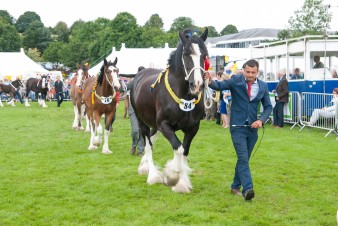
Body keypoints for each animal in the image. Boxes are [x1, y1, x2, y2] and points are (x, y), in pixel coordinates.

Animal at [131, 28, 209, 192]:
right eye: (186, 54)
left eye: (204, 55)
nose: (197, 84)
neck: (184, 95)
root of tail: (140, 74)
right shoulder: (164, 125)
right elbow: (178, 148)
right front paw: (173, 176)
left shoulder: (193, 127)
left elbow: (184, 150)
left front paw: (182, 182)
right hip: (142, 121)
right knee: (148, 144)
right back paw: (152, 175)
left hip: (154, 123)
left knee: (152, 139)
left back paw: (143, 166)